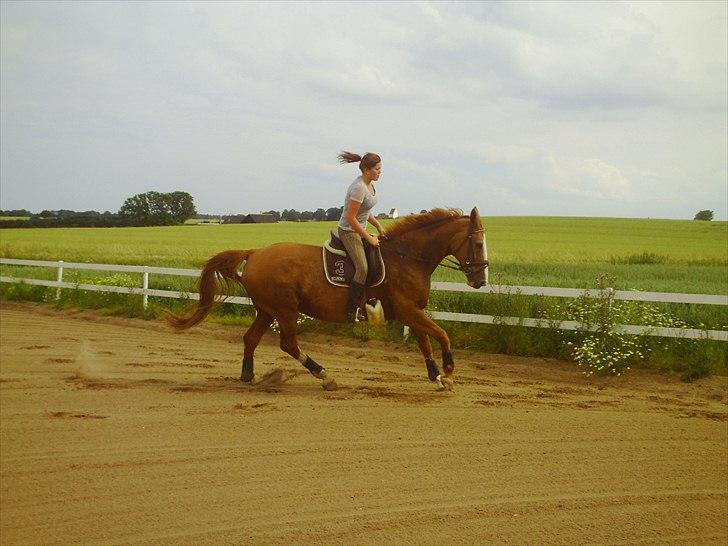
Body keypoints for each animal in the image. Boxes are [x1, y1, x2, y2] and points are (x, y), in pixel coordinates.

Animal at [166, 206, 490, 388]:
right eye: (477, 244)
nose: (481, 281)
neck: (407, 258)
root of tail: (255, 252)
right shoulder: (408, 311)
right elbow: (443, 335)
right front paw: (449, 373)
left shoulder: (413, 311)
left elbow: (425, 342)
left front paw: (436, 377)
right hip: (285, 310)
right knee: (288, 344)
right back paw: (324, 376)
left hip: (268, 310)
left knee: (251, 339)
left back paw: (249, 377)